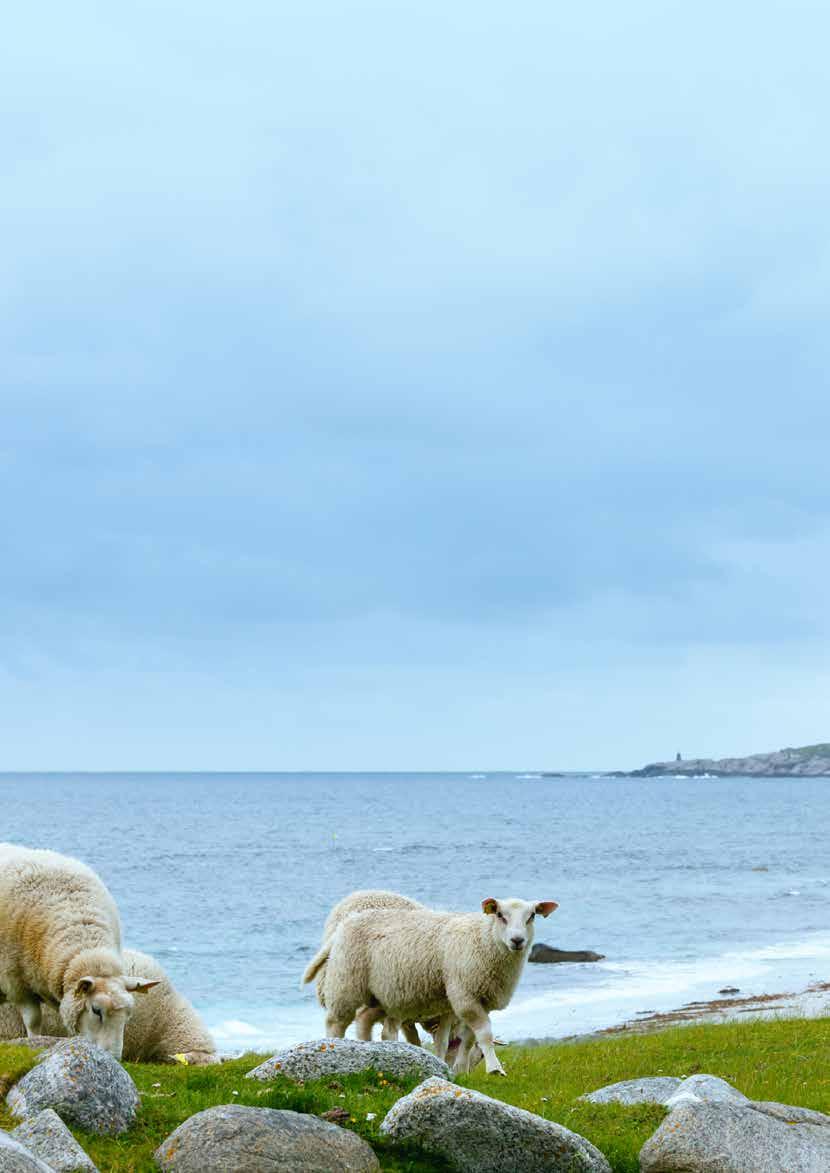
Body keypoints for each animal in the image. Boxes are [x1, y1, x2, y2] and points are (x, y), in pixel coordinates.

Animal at [0, 839, 158, 1060]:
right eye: (96, 1010)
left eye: (129, 1015)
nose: (113, 1058)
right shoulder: (17, 984)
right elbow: (33, 1021)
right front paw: (34, 1042)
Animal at [311, 891, 558, 1074]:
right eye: (500, 915)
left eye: (532, 916)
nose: (517, 940)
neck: (483, 939)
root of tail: (346, 921)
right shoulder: (463, 995)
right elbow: (484, 1034)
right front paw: (495, 1069)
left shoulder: (464, 1003)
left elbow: (463, 1039)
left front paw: (454, 1068)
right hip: (346, 983)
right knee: (335, 1023)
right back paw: (333, 1050)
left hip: (380, 995)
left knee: (365, 1021)